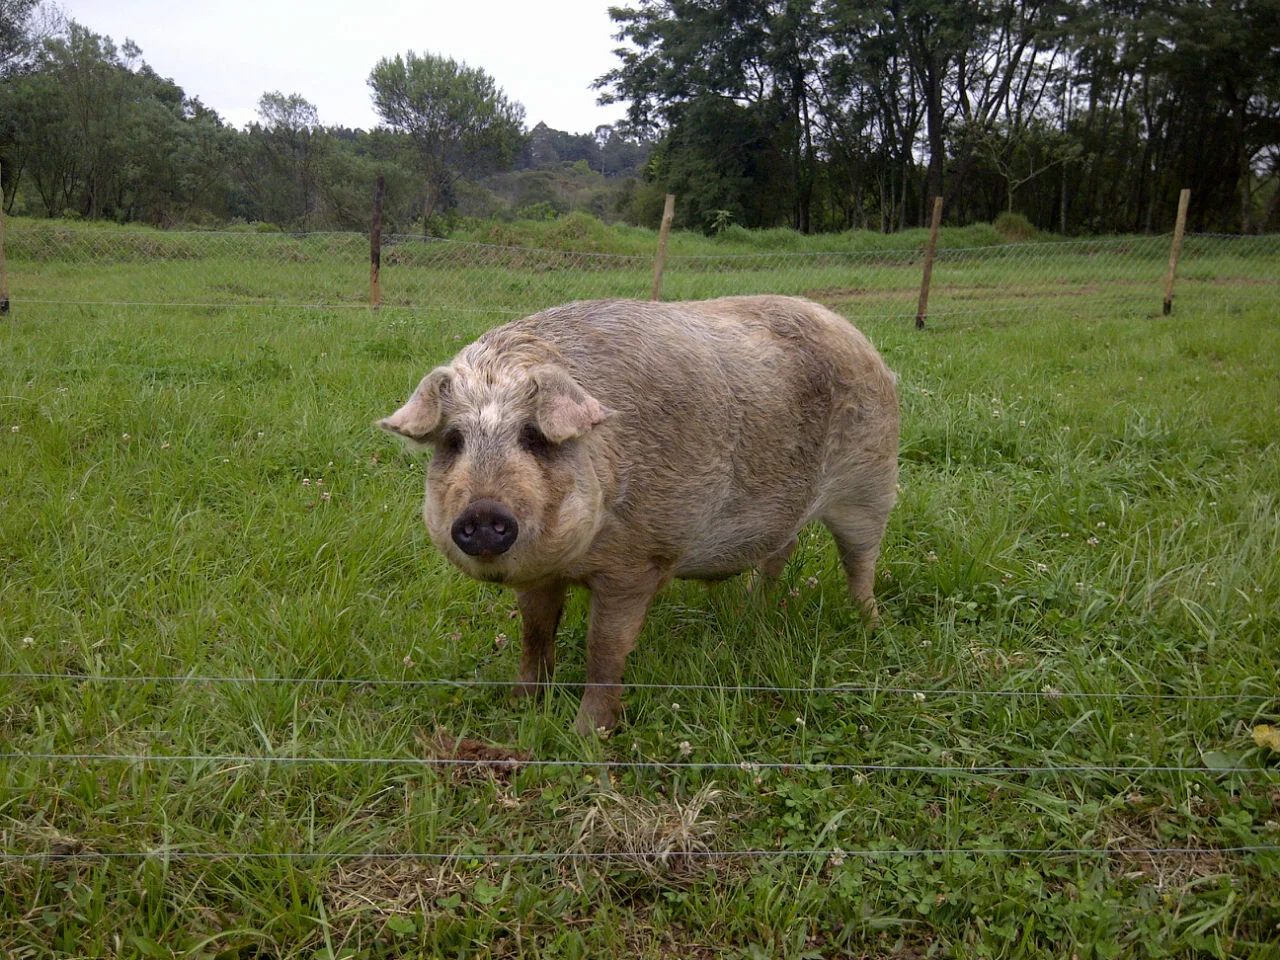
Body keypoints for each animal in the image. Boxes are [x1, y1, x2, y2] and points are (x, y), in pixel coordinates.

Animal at [378, 296, 901, 732]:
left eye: (534, 437)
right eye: (453, 441)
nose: (484, 511)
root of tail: (854, 333)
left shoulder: (637, 564)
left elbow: (605, 648)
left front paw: (587, 734)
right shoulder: (538, 574)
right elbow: (535, 633)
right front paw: (520, 707)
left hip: (872, 481)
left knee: (861, 561)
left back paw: (871, 626)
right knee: (781, 550)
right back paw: (752, 612)